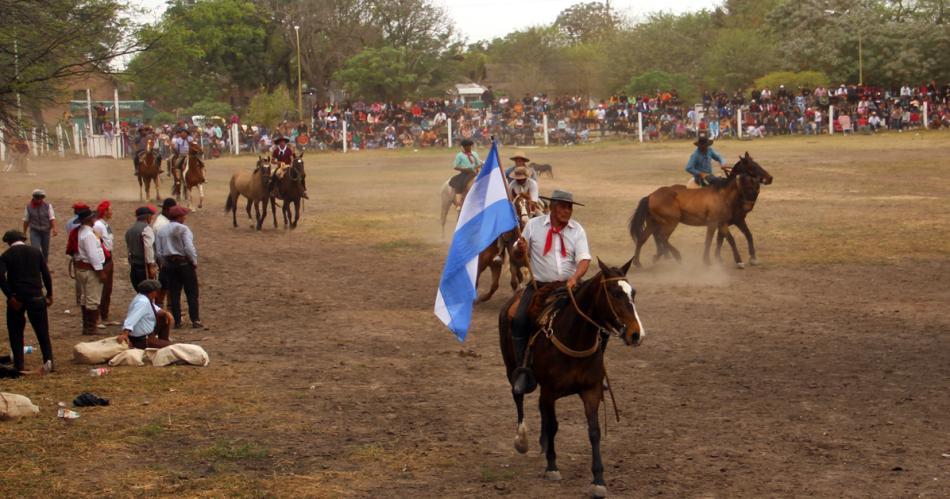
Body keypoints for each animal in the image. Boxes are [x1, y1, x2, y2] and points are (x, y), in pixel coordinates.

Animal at [498, 260, 648, 498]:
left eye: (632, 292)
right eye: (615, 293)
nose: (636, 334)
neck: (574, 337)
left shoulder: (591, 391)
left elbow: (594, 431)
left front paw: (598, 479)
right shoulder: (550, 390)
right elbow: (553, 425)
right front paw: (552, 467)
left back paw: (542, 443)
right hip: (511, 367)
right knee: (518, 395)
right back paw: (522, 440)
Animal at [632, 153, 772, 268]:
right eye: (752, 167)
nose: (770, 178)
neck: (723, 195)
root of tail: (651, 195)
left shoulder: (721, 223)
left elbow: (715, 240)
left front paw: (709, 260)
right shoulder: (716, 223)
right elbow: (727, 240)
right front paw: (738, 261)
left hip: (653, 223)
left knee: (643, 239)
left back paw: (638, 262)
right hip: (671, 222)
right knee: (662, 237)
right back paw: (676, 256)